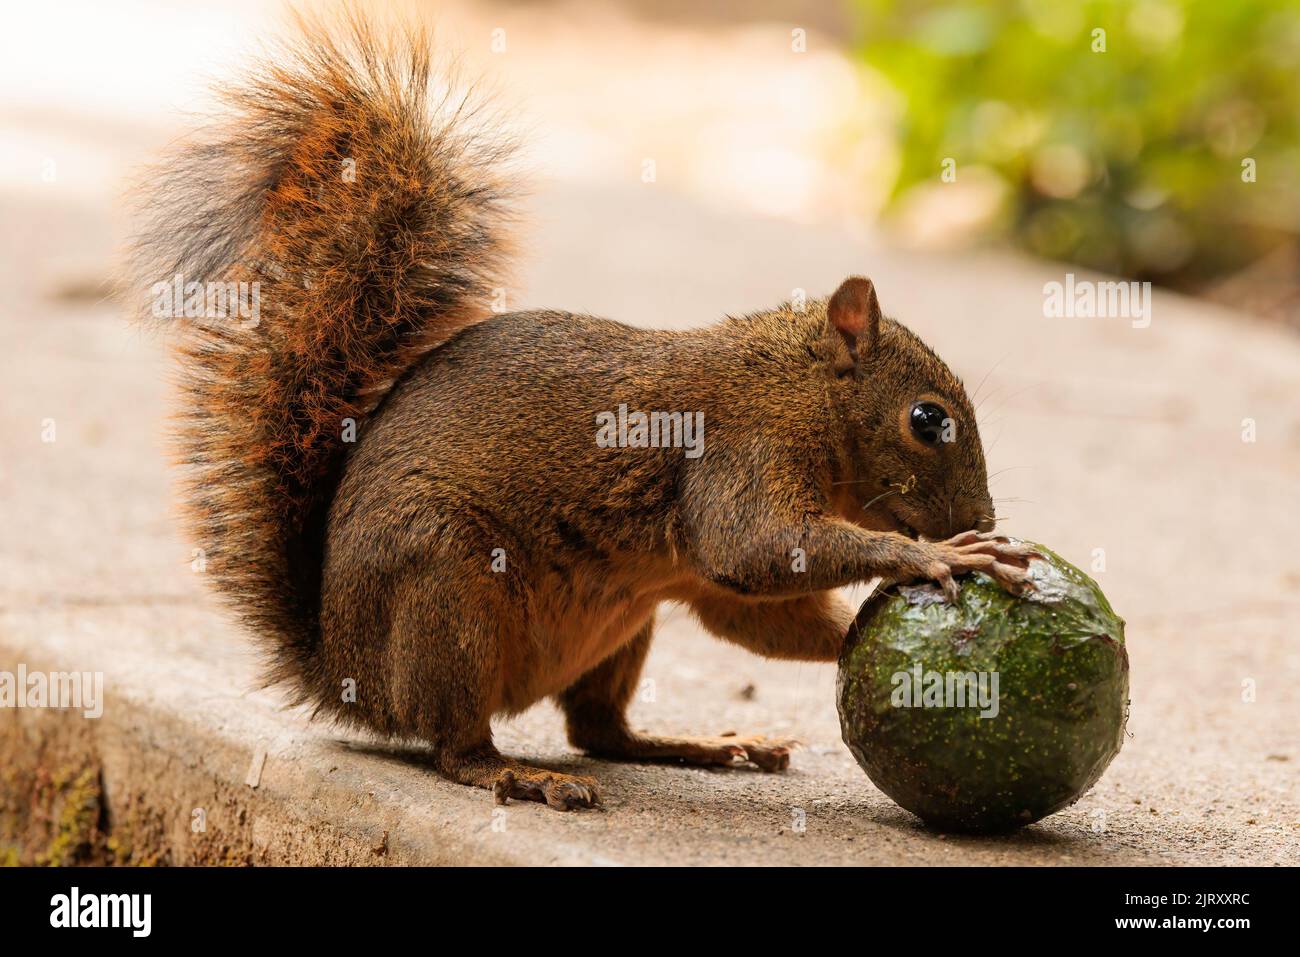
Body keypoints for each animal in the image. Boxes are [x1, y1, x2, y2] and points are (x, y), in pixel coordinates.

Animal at [126, 11, 1033, 810]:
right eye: (928, 420)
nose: (984, 517)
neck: (796, 386)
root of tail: (346, 673)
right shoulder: (741, 448)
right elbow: (756, 546)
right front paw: (937, 556)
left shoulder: (709, 568)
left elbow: (745, 602)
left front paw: (871, 628)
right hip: (445, 588)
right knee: (457, 742)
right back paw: (519, 775)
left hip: (624, 619)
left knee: (599, 729)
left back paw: (699, 744)